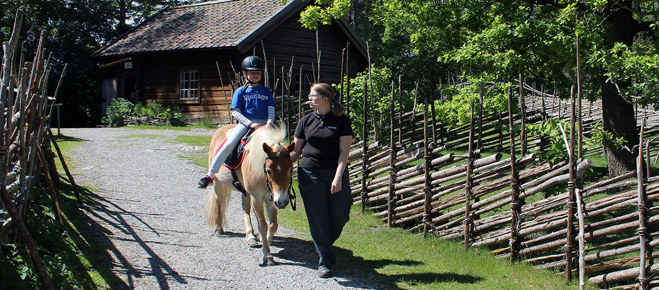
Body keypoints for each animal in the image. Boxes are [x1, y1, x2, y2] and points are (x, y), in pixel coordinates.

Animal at [206, 123, 296, 266]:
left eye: (290, 170)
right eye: (269, 171)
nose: (282, 202)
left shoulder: (271, 199)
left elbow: (273, 225)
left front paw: (262, 241)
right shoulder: (257, 198)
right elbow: (263, 225)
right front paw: (267, 255)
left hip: (245, 192)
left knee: (245, 209)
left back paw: (251, 236)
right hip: (217, 182)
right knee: (218, 202)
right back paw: (219, 228)